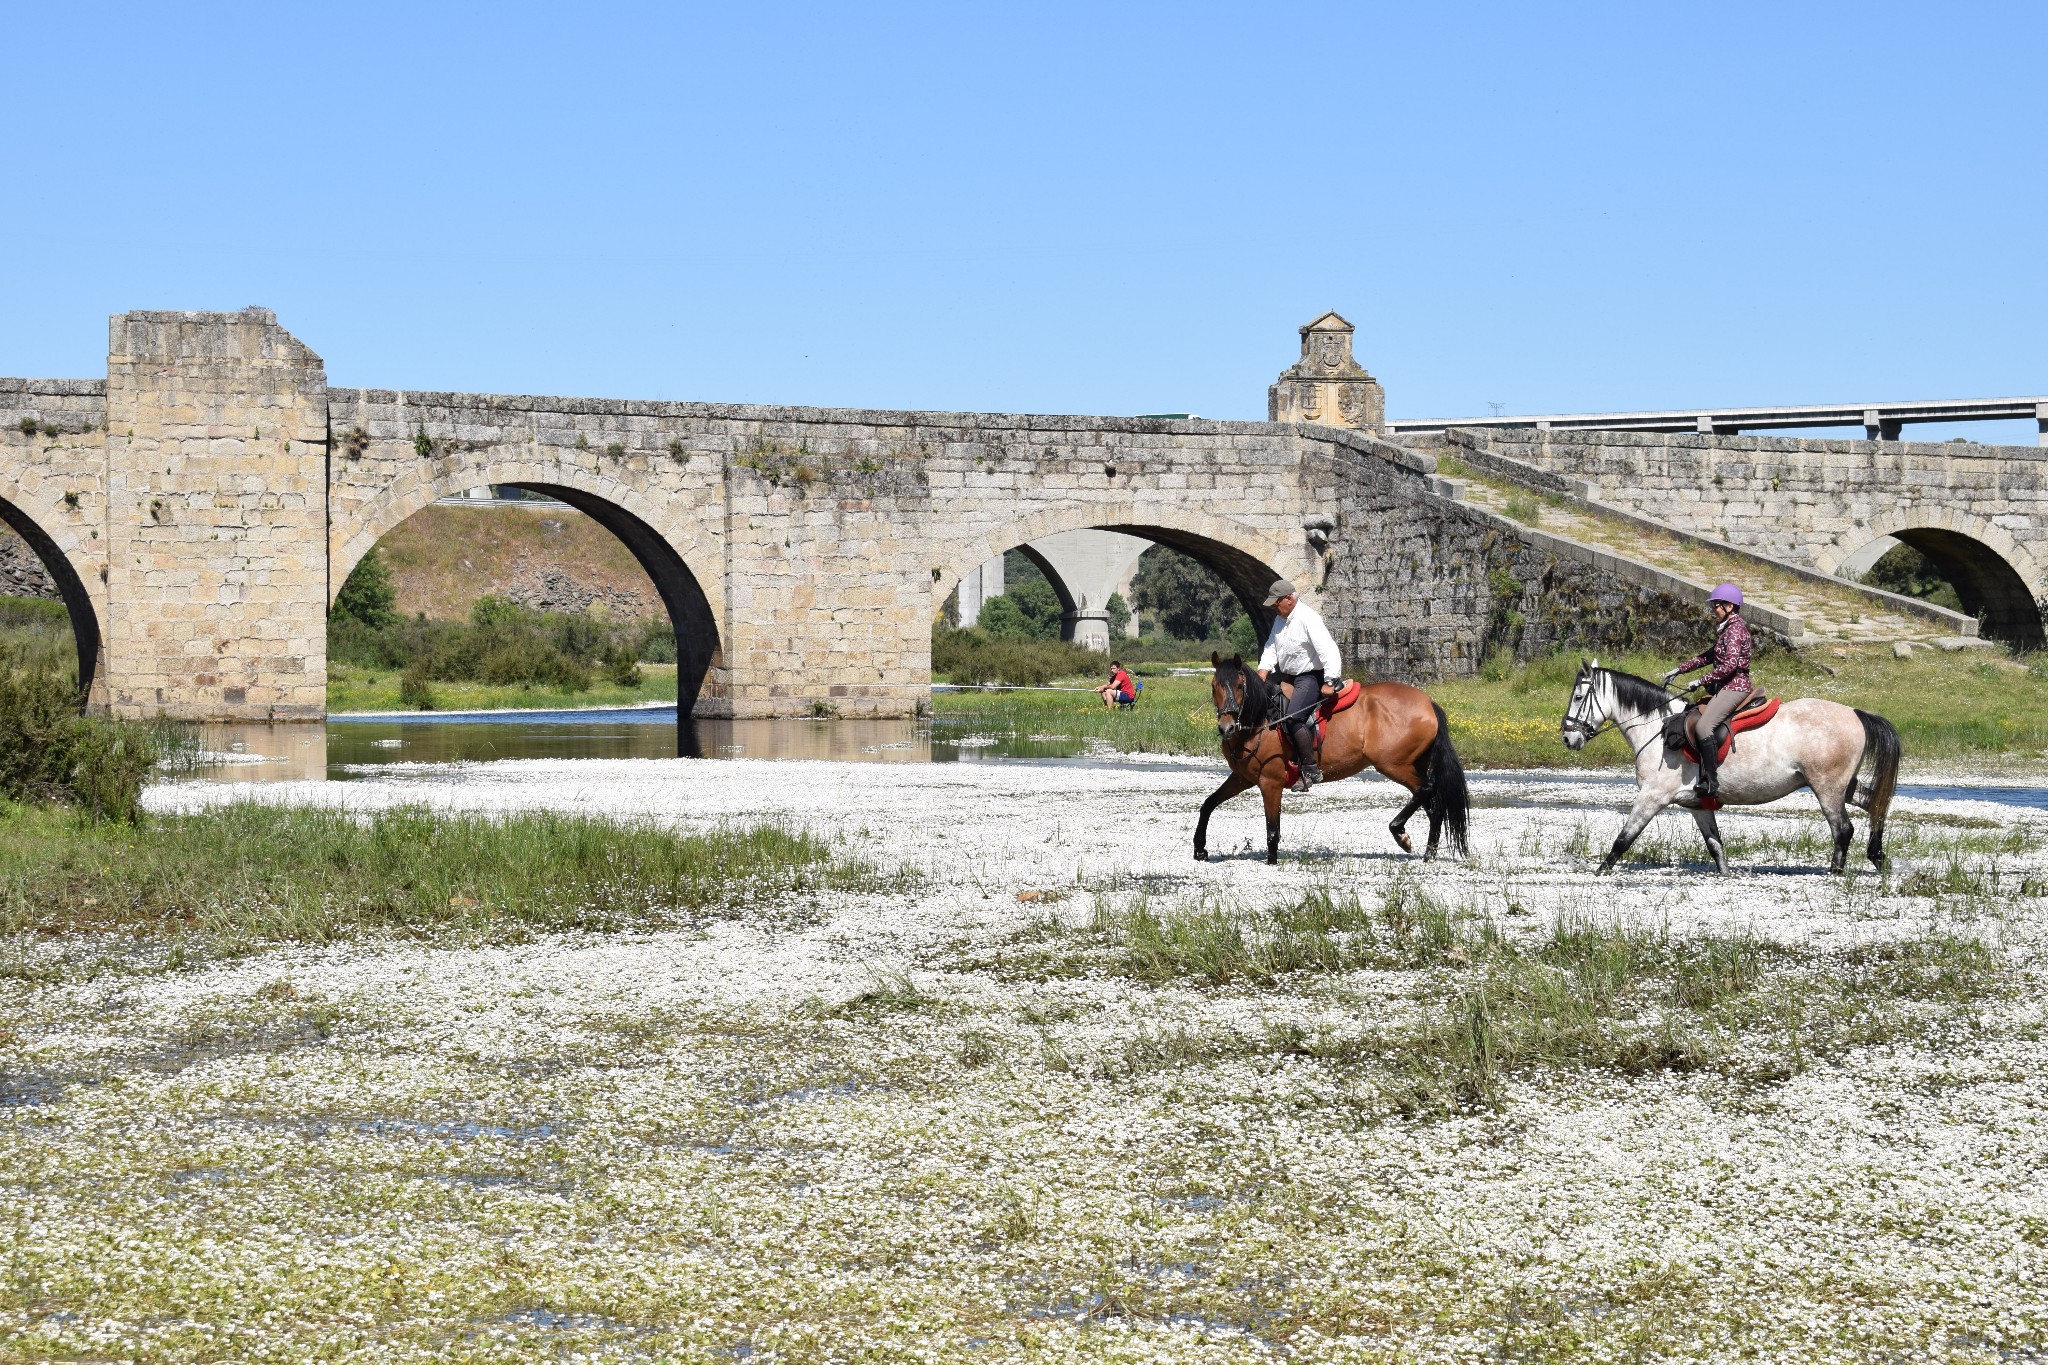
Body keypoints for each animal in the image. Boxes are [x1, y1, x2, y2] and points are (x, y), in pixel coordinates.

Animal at [1196, 654, 1469, 865]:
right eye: (1214, 686)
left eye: (1240, 686)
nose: (1227, 727)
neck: (1263, 719)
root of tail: (1428, 703)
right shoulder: (1242, 778)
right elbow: (1208, 804)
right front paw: (1199, 848)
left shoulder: (1270, 782)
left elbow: (1272, 828)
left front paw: (1272, 860)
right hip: (1412, 765)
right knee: (1433, 805)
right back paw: (1428, 853)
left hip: (1394, 765)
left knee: (1427, 790)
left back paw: (1399, 832)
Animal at [1559, 660, 1900, 875]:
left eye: (1578, 696)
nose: (1567, 737)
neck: (1656, 729)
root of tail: (1854, 713)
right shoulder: (1698, 805)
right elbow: (1716, 846)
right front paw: (1725, 874)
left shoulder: (1652, 797)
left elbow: (1624, 838)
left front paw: (1600, 871)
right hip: (1844, 786)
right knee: (1875, 805)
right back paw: (1878, 858)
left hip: (1827, 788)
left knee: (1843, 828)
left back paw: (1836, 872)